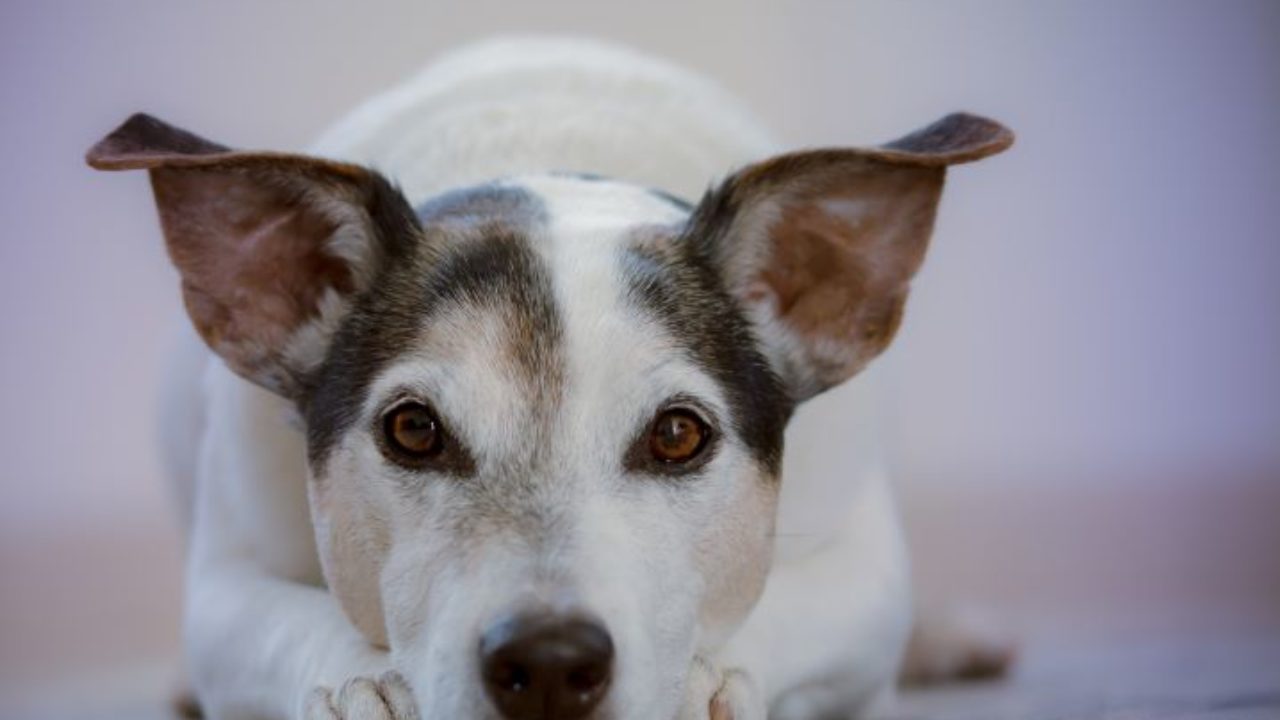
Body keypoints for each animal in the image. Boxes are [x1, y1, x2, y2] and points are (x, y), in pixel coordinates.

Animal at [87, 37, 1008, 717]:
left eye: (679, 434)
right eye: (412, 429)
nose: (552, 664)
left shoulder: (864, 572)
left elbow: (789, 610)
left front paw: (706, 680)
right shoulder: (227, 581)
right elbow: (281, 622)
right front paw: (364, 683)